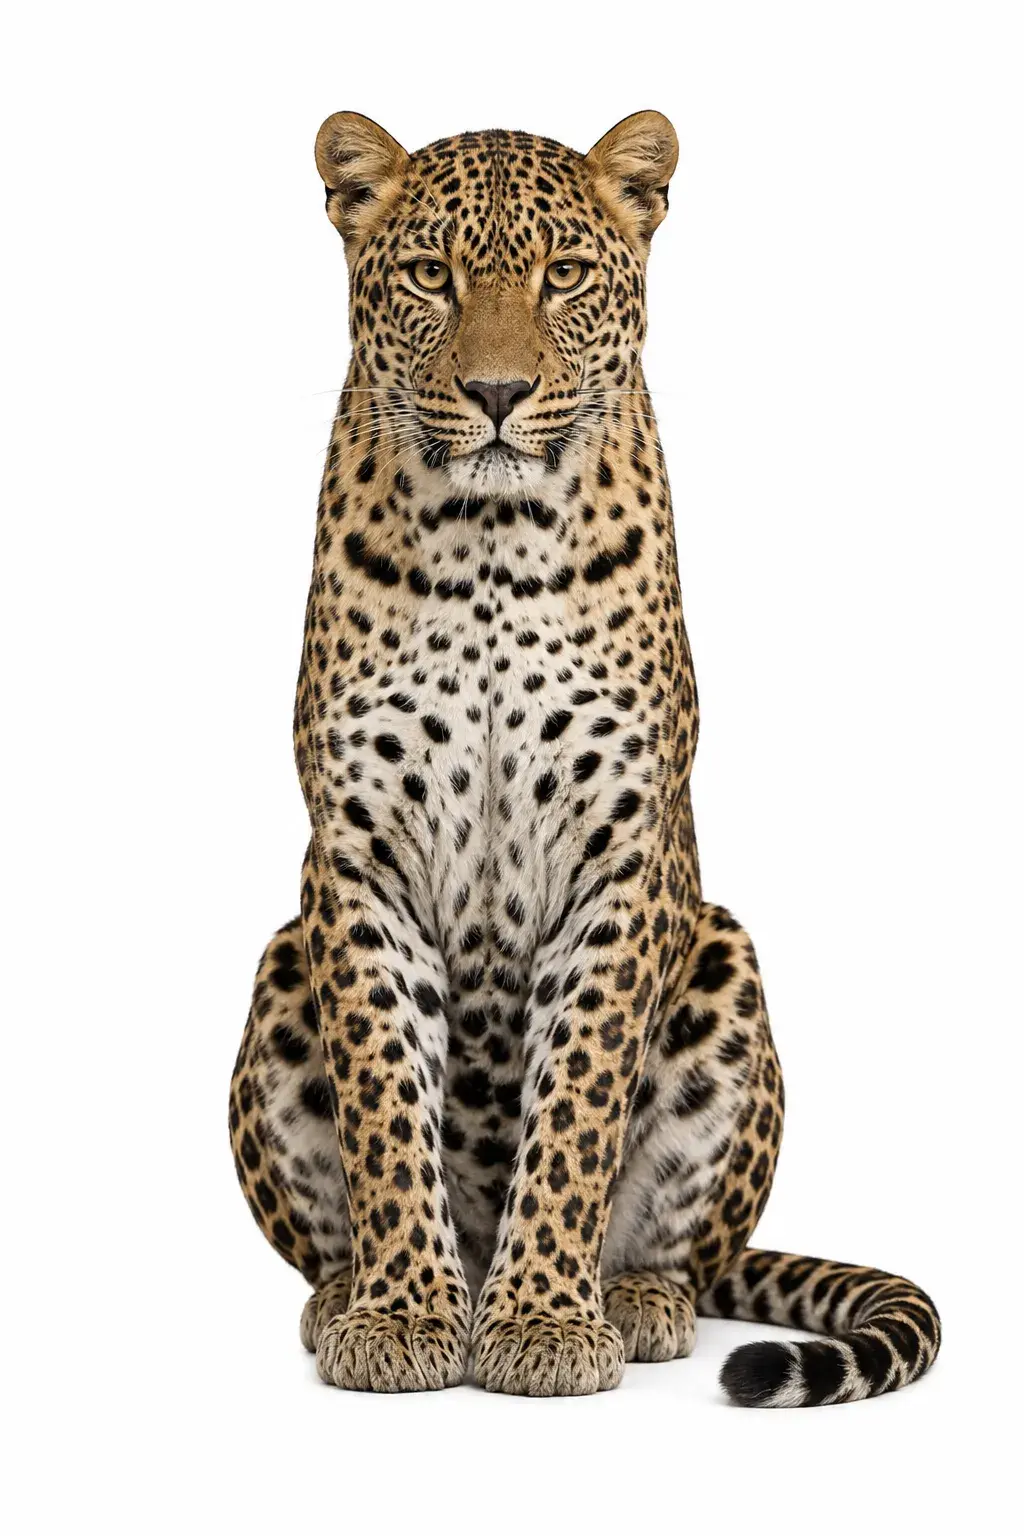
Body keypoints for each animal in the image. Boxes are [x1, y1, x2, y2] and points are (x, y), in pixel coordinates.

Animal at [228, 110, 941, 1404]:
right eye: (430, 276)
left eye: (562, 275)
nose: (498, 391)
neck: (487, 546)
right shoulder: (357, 859)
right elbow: (385, 1103)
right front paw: (404, 1315)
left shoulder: (620, 859)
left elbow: (575, 1109)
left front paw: (547, 1323)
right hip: (278, 965)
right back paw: (353, 1291)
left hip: (722, 959)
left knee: (684, 1251)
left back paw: (635, 1299)